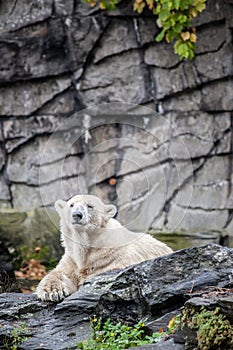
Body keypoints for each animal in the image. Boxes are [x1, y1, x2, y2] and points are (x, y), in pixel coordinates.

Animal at [35, 194, 172, 300]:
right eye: (71, 205)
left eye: (90, 206)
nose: (77, 215)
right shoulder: (72, 259)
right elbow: (60, 272)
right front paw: (52, 291)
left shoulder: (115, 258)